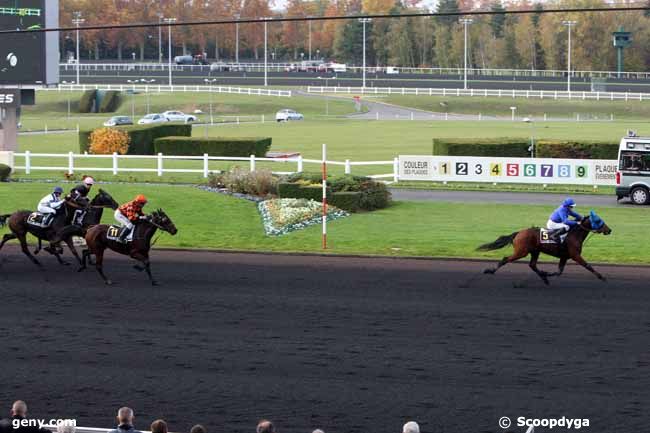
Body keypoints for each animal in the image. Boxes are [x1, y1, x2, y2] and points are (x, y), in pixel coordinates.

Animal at [476, 211, 608, 286]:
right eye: (598, 220)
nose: (609, 230)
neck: (574, 234)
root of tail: (519, 233)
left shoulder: (564, 257)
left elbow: (559, 271)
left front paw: (546, 274)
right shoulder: (575, 255)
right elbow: (588, 266)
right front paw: (602, 277)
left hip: (535, 251)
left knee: (532, 265)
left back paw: (544, 279)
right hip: (521, 252)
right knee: (505, 259)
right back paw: (490, 271)